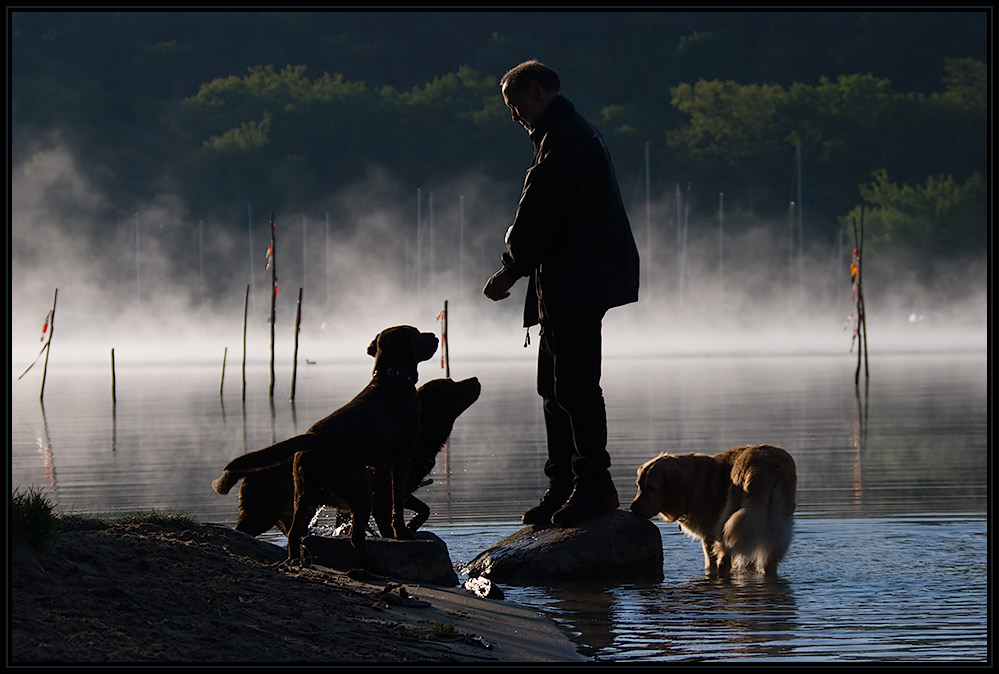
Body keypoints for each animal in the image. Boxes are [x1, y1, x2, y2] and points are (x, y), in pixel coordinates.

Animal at [211, 322, 438, 564]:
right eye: (417, 333)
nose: (435, 336)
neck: (391, 377)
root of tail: (313, 438)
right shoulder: (401, 459)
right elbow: (397, 502)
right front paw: (402, 533)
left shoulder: (384, 466)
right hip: (357, 490)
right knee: (355, 537)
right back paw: (372, 565)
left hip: (303, 496)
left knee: (294, 534)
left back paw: (296, 561)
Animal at [214, 376, 480, 540]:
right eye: (447, 388)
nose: (475, 379)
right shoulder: (380, 497)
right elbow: (389, 524)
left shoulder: (401, 491)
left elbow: (423, 509)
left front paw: (412, 526)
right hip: (260, 513)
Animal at [632, 444, 796, 576]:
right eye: (639, 485)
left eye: (652, 488)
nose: (633, 508)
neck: (692, 484)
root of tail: (766, 465)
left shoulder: (708, 537)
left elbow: (709, 563)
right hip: (773, 528)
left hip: (729, 524)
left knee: (724, 560)